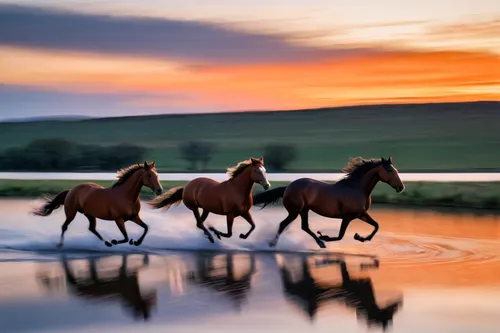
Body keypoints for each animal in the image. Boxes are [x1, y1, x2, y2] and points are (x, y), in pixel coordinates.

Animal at [31, 160, 164, 248]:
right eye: (149, 175)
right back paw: (59, 244)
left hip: (89, 214)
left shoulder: (134, 217)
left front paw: (136, 242)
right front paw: (117, 241)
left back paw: (107, 242)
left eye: (157, 175)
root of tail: (71, 190)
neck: (125, 196)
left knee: (92, 228)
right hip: (71, 213)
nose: (159, 190)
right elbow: (126, 237)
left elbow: (146, 227)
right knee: (64, 227)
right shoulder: (119, 219)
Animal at [252, 157, 404, 248]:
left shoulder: (361, 214)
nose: (401, 187)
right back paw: (272, 244)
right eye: (389, 170)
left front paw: (360, 237)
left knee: (304, 227)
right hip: (295, 211)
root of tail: (288, 187)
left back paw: (319, 242)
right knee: (284, 224)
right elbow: (340, 236)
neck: (356, 188)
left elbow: (376, 226)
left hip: (304, 210)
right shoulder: (348, 217)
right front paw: (325, 236)